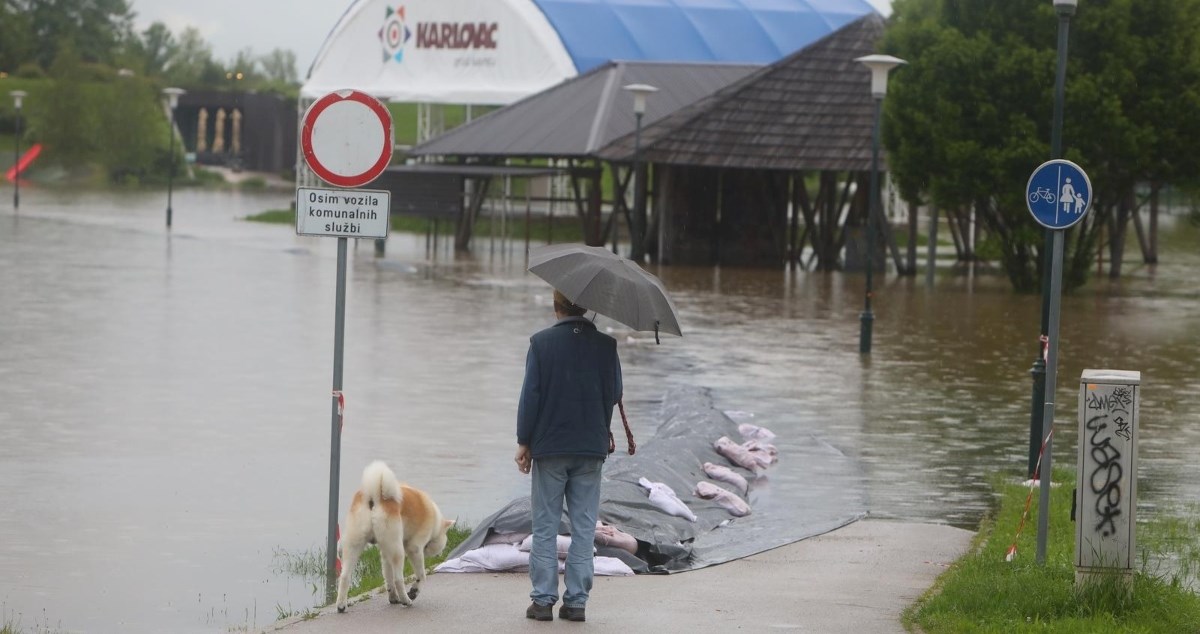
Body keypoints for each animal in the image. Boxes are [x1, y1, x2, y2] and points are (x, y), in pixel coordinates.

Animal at [336, 458, 451, 612]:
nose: (439, 555)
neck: (435, 522)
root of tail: (375, 496)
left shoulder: (385, 554)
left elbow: (388, 578)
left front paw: (393, 597)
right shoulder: (414, 548)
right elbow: (421, 575)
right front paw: (414, 591)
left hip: (354, 545)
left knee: (345, 576)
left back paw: (341, 606)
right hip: (398, 550)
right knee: (398, 579)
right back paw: (406, 600)